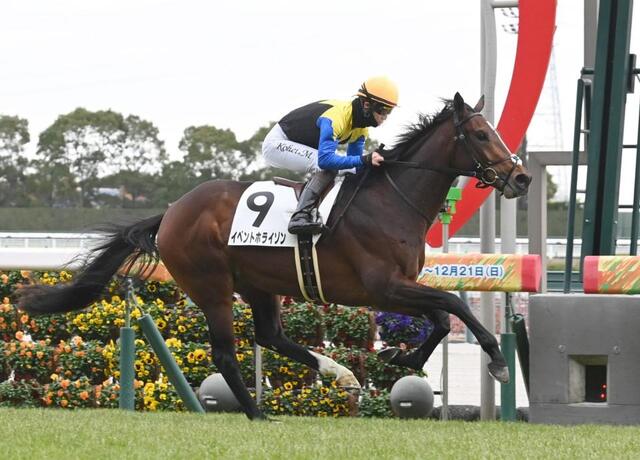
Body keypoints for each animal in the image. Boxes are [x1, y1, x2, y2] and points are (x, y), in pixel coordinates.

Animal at [18, 93, 531, 420]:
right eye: (481, 135)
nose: (522, 178)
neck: (391, 200)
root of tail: (172, 211)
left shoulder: (396, 287)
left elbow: (443, 318)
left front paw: (399, 357)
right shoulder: (380, 286)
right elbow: (456, 304)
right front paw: (496, 360)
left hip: (259, 285)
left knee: (270, 336)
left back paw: (339, 374)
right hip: (211, 285)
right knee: (226, 353)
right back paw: (257, 414)